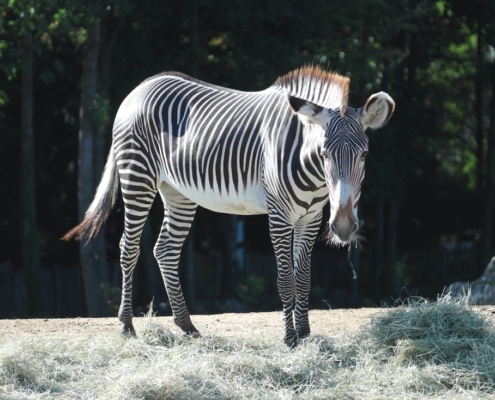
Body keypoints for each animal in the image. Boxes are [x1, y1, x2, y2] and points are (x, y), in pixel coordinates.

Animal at [63, 65, 396, 346]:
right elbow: (285, 279)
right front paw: (290, 339)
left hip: (177, 191)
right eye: (325, 154)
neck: (310, 167)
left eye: (365, 155)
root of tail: (142, 86)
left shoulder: (310, 218)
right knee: (129, 248)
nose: (343, 226)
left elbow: (304, 278)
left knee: (165, 250)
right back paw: (126, 326)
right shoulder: (279, 214)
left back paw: (187, 326)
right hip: (137, 175)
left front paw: (305, 334)